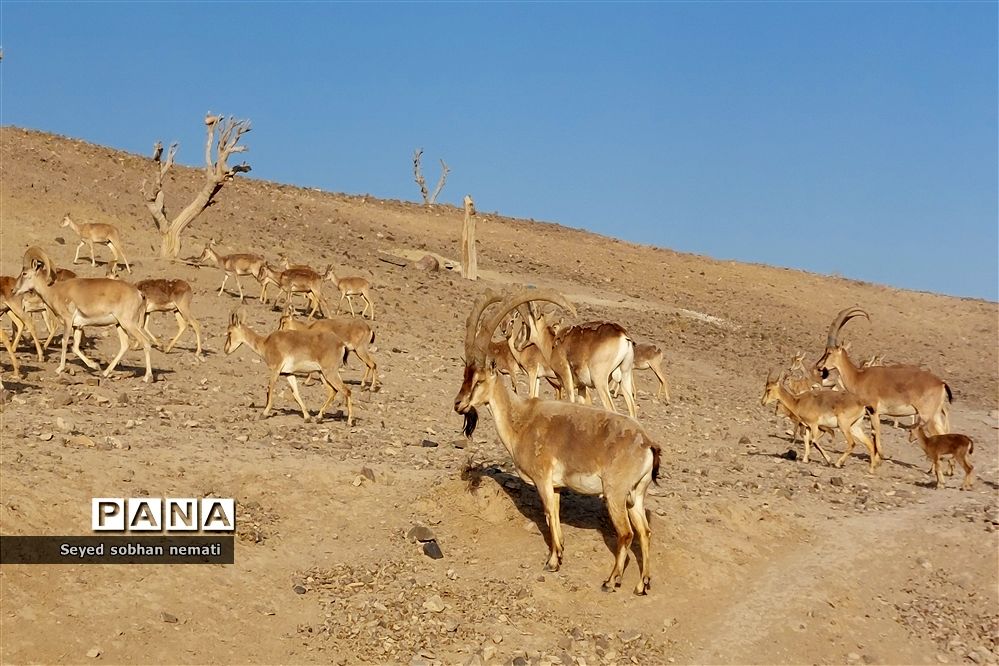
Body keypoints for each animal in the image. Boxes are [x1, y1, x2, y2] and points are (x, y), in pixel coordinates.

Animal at [12, 245, 152, 382]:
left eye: (24, 273)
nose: (14, 290)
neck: (54, 291)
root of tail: (139, 294)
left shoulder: (68, 321)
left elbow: (64, 342)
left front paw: (59, 369)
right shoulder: (78, 326)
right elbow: (75, 347)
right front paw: (94, 365)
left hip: (128, 324)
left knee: (145, 342)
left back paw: (147, 377)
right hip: (120, 325)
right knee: (124, 345)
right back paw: (105, 372)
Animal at [456, 288, 664, 592]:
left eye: (480, 380)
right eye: (465, 375)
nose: (459, 404)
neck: (520, 420)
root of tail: (648, 445)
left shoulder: (543, 479)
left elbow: (547, 514)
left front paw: (552, 561)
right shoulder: (554, 486)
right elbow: (553, 514)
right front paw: (559, 554)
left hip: (615, 492)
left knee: (626, 534)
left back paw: (611, 580)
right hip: (635, 495)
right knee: (645, 532)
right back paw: (641, 585)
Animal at [812, 304, 952, 452]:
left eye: (829, 352)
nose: (819, 366)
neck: (859, 377)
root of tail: (941, 383)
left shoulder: (873, 410)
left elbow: (876, 435)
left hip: (927, 416)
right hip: (936, 416)